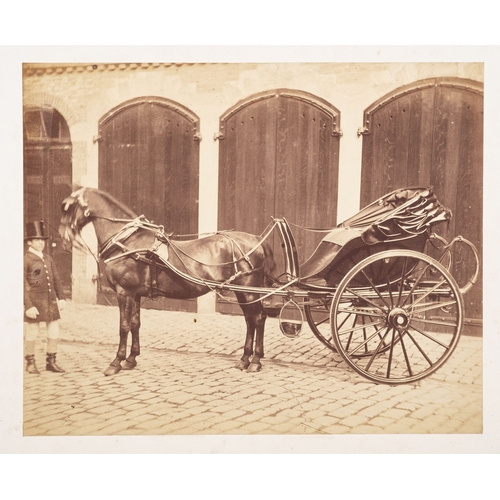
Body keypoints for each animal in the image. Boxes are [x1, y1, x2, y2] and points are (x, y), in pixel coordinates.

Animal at [60, 188, 278, 376]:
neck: (127, 241)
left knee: (258, 319)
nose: (63, 239)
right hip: (242, 292)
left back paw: (255, 361)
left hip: (248, 290)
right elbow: (135, 324)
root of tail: (257, 239)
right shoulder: (135, 294)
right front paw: (131, 359)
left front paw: (116, 362)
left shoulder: (124, 292)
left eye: (66, 208)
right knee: (250, 320)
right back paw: (245, 359)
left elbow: (123, 326)